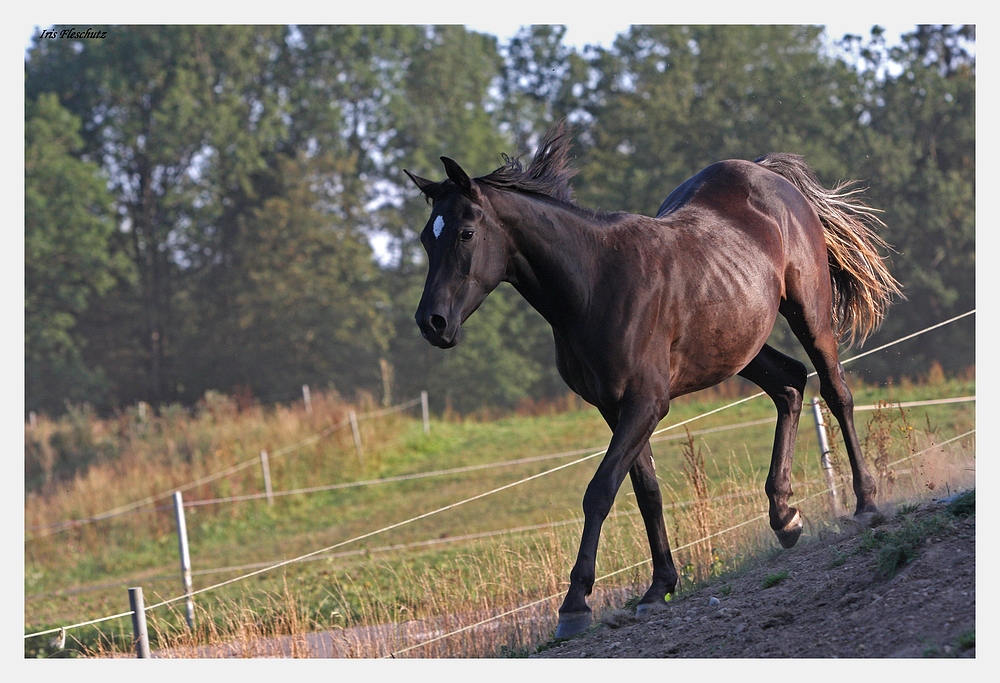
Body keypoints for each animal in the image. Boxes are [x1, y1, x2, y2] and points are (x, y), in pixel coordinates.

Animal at [402, 123, 904, 640]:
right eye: (425, 237)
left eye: (465, 233)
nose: (432, 323)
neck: (594, 284)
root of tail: (766, 172)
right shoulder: (615, 407)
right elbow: (646, 492)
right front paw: (659, 585)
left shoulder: (646, 403)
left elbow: (600, 491)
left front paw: (575, 605)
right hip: (739, 344)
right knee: (788, 384)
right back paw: (784, 516)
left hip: (810, 313)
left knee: (836, 392)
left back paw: (865, 503)